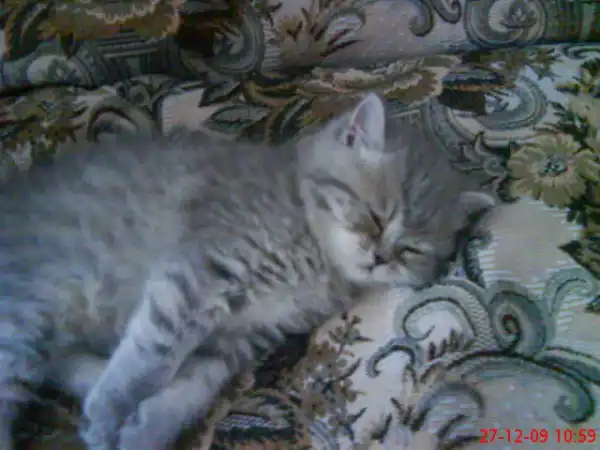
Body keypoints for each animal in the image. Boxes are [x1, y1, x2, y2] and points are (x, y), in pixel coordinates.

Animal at [0, 93, 495, 450]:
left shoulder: (235, 340)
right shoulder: (199, 277)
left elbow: (193, 389)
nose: (380, 256)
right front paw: (113, 410)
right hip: (25, 316)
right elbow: (152, 357)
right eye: (375, 217)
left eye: (411, 250)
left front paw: (143, 429)